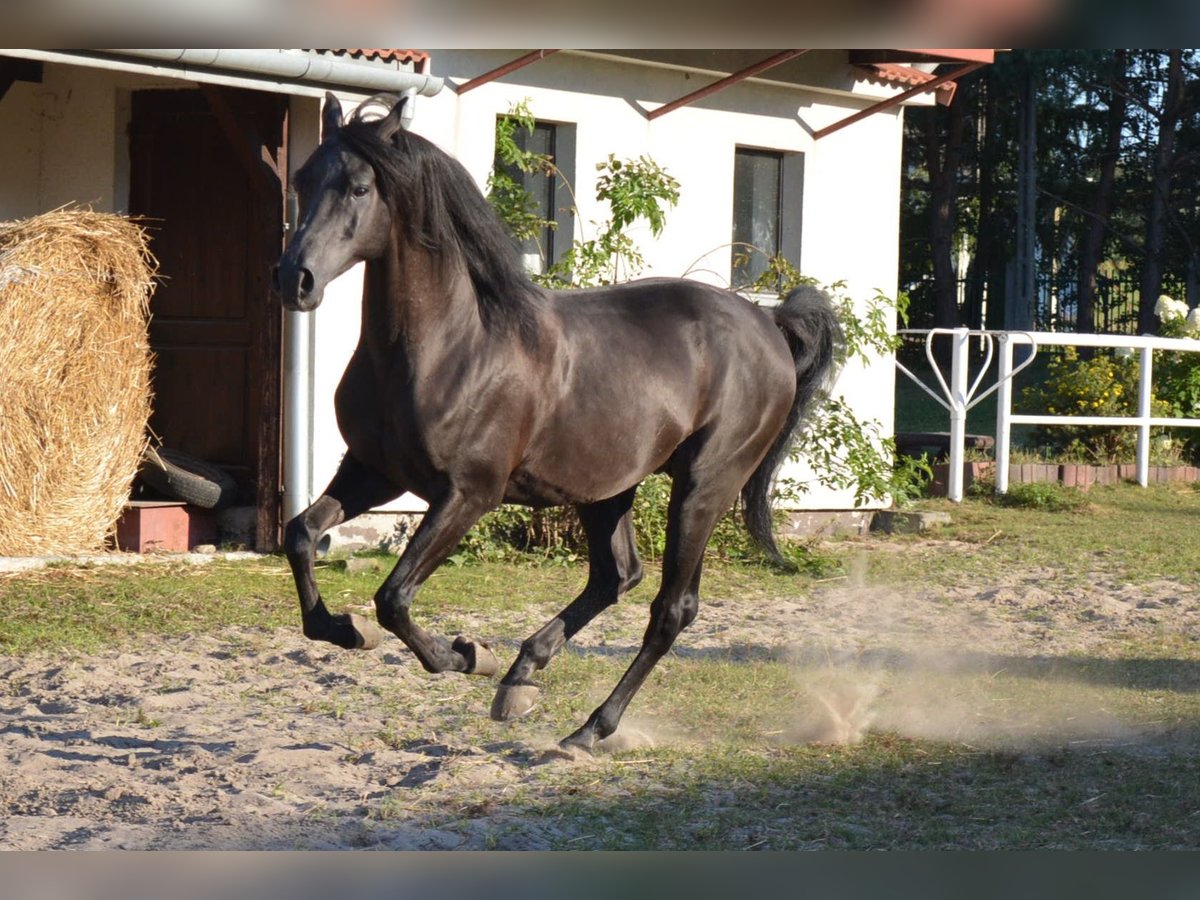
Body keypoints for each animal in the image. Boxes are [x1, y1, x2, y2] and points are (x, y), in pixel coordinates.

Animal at [272, 93, 840, 753]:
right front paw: (344, 630)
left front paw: (467, 655)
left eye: (360, 187)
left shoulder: (468, 494)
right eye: (303, 180)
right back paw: (522, 678)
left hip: (705, 486)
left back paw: (589, 728)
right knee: (616, 577)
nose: (294, 280)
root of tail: (768, 323)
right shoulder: (374, 470)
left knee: (671, 608)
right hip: (606, 489)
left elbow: (393, 597)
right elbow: (301, 535)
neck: (449, 346)